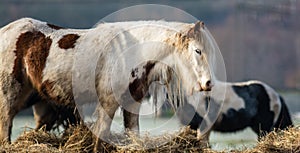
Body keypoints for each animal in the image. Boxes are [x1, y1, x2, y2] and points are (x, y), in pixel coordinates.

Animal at [0, 17, 217, 151]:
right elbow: (101, 136)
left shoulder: (132, 104)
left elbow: (133, 133)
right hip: (9, 98)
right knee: (5, 126)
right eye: (198, 51)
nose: (208, 83)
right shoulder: (108, 103)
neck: (133, 51)